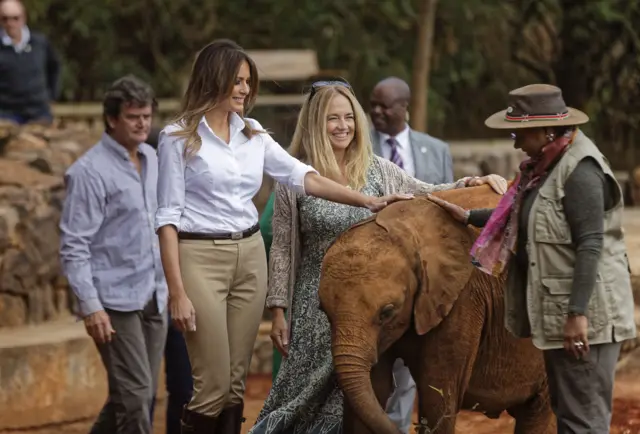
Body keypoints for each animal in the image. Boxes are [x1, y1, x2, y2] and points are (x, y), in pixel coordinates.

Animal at [318, 186, 556, 434]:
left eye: (387, 312)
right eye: (323, 311)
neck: (404, 232)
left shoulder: (462, 298)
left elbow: (437, 398)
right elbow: (375, 388)